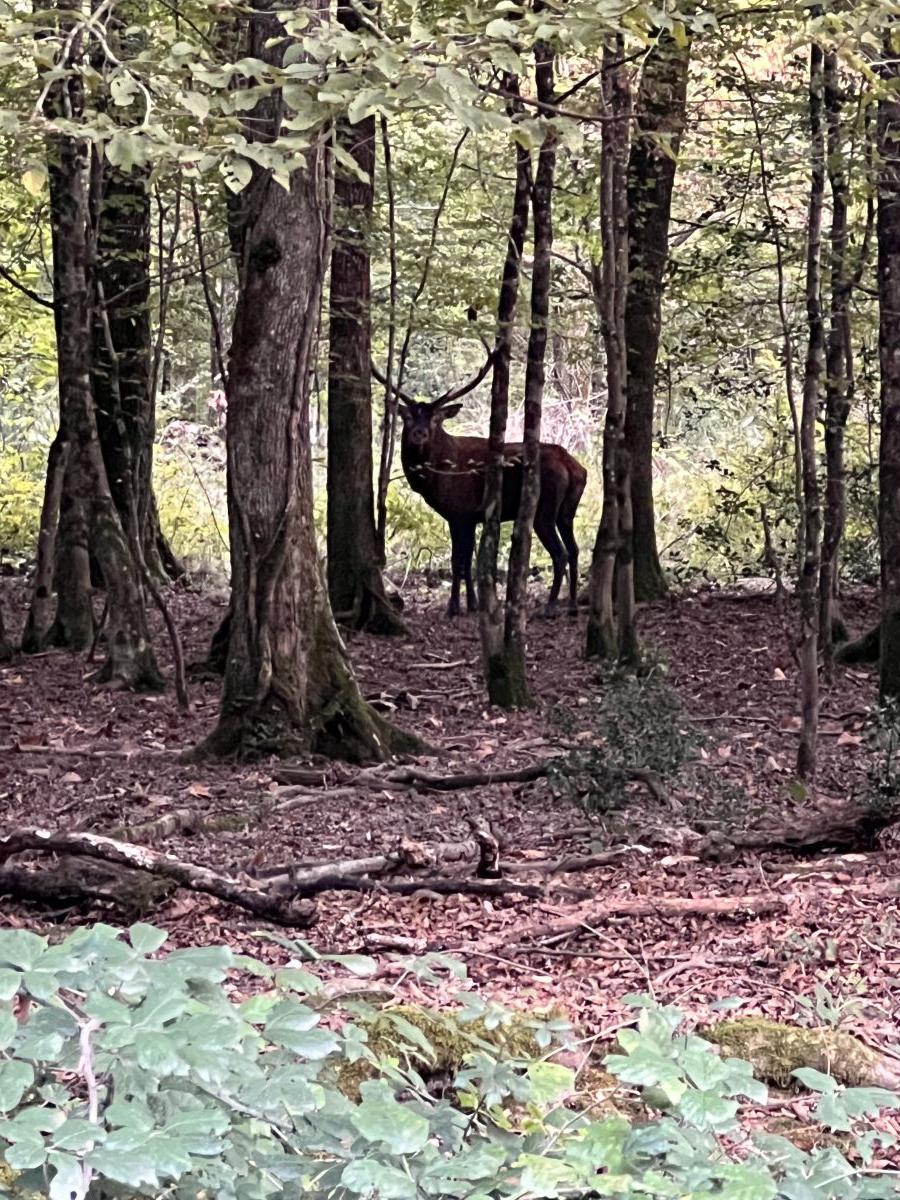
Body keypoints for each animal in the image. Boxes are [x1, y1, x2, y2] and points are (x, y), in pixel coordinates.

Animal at [382, 356, 588, 618]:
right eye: (407, 417)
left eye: (436, 419)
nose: (419, 434)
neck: (436, 479)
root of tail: (573, 467)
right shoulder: (468, 517)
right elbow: (468, 560)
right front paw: (473, 603)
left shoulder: (460, 512)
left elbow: (458, 560)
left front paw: (454, 607)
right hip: (567, 511)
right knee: (574, 549)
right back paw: (572, 605)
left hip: (545, 509)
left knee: (560, 554)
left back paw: (550, 607)